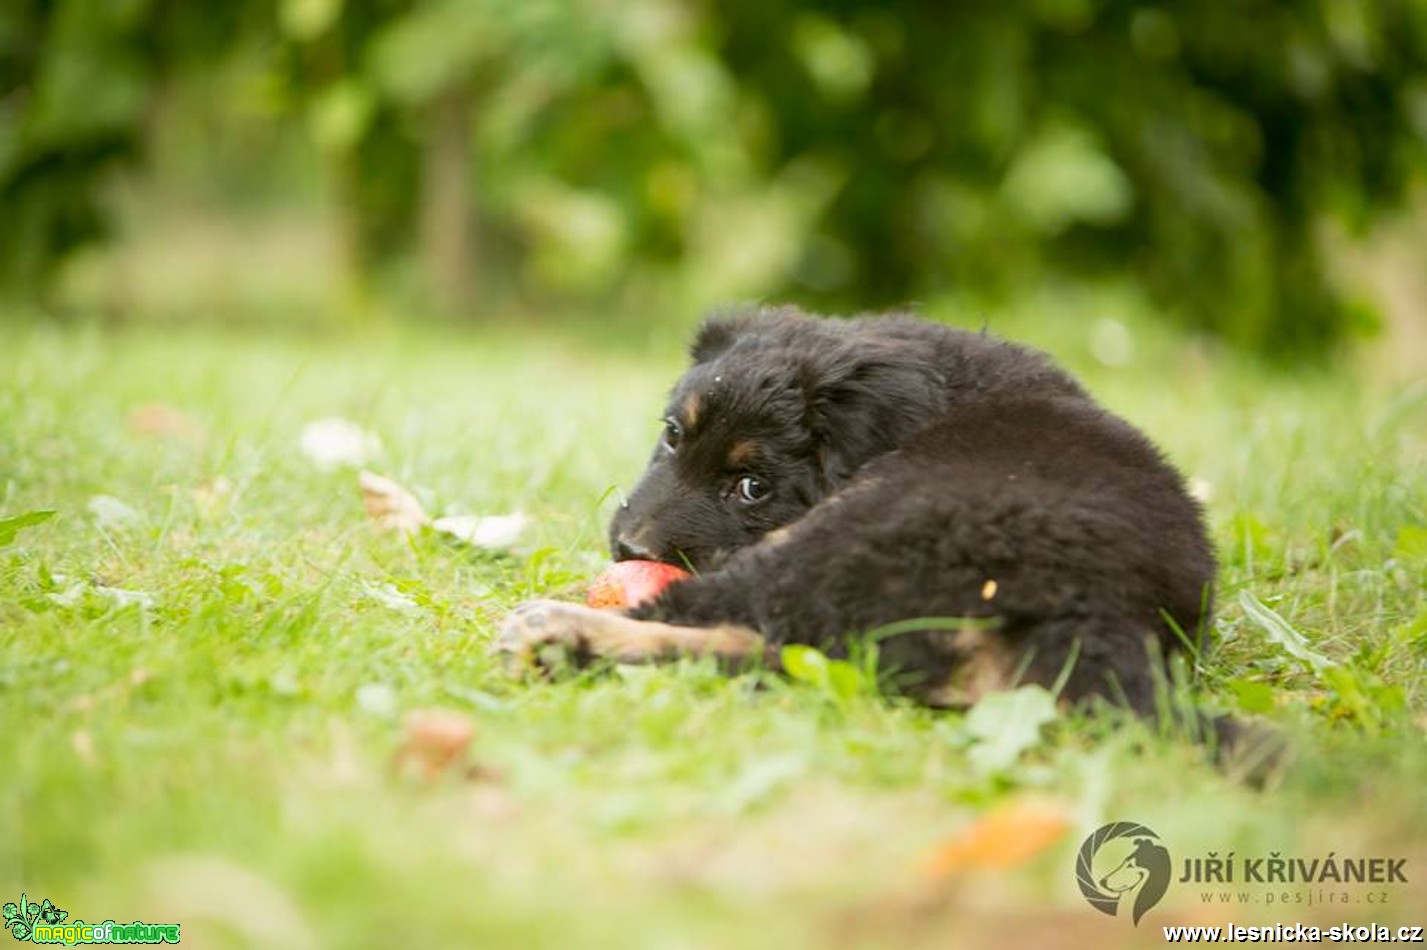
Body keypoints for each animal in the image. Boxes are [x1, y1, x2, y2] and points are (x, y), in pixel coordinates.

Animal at [502, 310, 1215, 718]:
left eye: (753, 488)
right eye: (674, 436)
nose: (630, 549)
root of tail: (1094, 612)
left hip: (846, 541)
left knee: (730, 618)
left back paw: (554, 630)